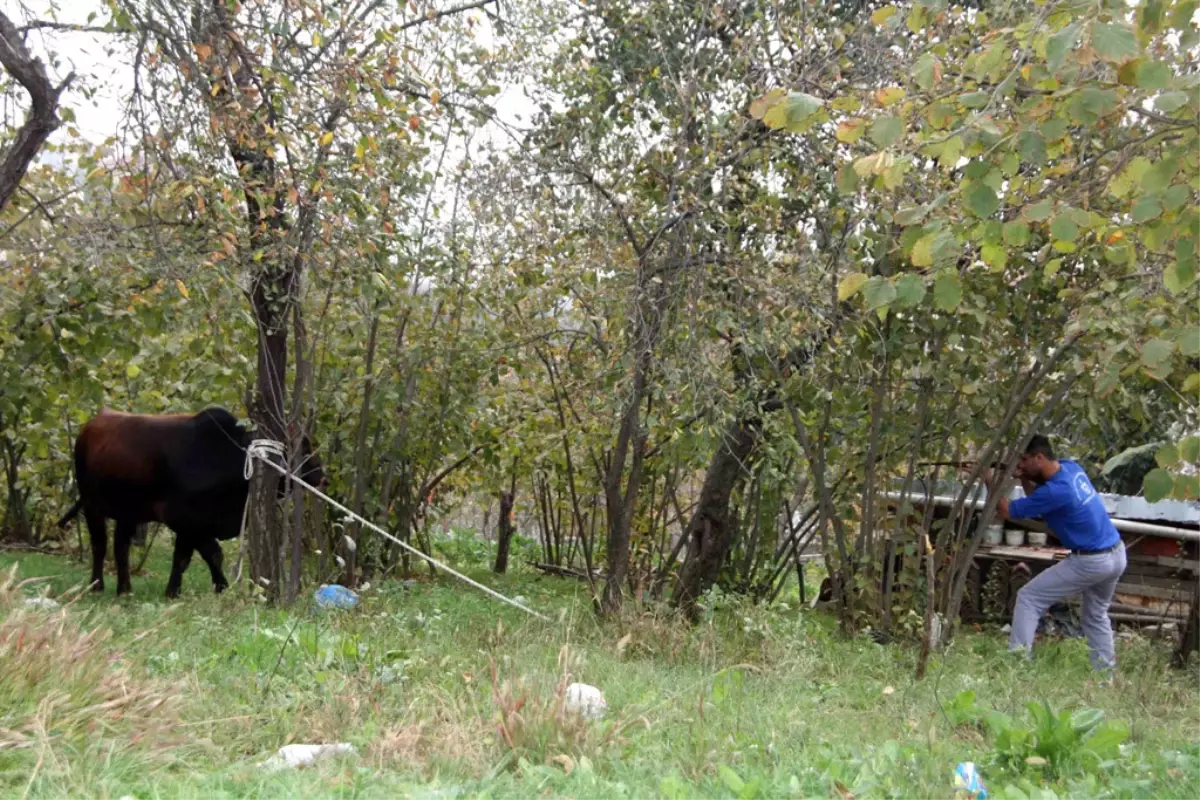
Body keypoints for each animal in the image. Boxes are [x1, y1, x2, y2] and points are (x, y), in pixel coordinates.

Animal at [57, 410, 324, 597]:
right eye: (302, 448)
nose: (322, 475)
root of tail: (91, 425)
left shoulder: (196, 524)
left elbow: (195, 557)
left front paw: (202, 588)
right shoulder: (186, 521)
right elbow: (201, 556)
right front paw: (194, 589)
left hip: (129, 512)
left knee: (120, 546)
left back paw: (124, 588)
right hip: (92, 505)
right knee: (100, 545)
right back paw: (97, 585)